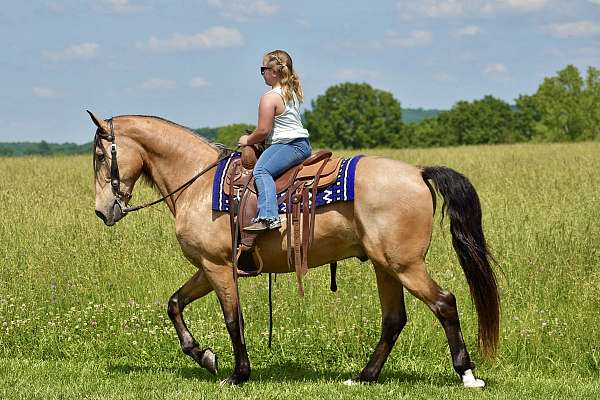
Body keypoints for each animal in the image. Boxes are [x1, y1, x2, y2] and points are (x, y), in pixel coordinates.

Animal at [89, 111, 500, 388]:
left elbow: (233, 320)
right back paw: (364, 376)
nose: (103, 210)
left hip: (404, 265)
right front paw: (203, 355)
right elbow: (175, 303)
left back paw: (467, 374)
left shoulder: (217, 266)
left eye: (100, 156)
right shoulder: (209, 267)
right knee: (394, 319)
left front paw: (238, 375)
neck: (197, 181)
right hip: (385, 266)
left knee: (444, 303)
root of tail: (416, 171)